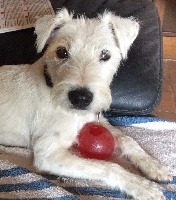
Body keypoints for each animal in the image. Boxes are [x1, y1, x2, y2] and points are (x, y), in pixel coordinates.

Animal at [0, 8, 172, 200]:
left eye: (105, 55)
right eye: (62, 52)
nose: (81, 98)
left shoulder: (98, 119)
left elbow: (126, 139)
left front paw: (153, 165)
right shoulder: (48, 154)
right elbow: (109, 167)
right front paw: (142, 186)